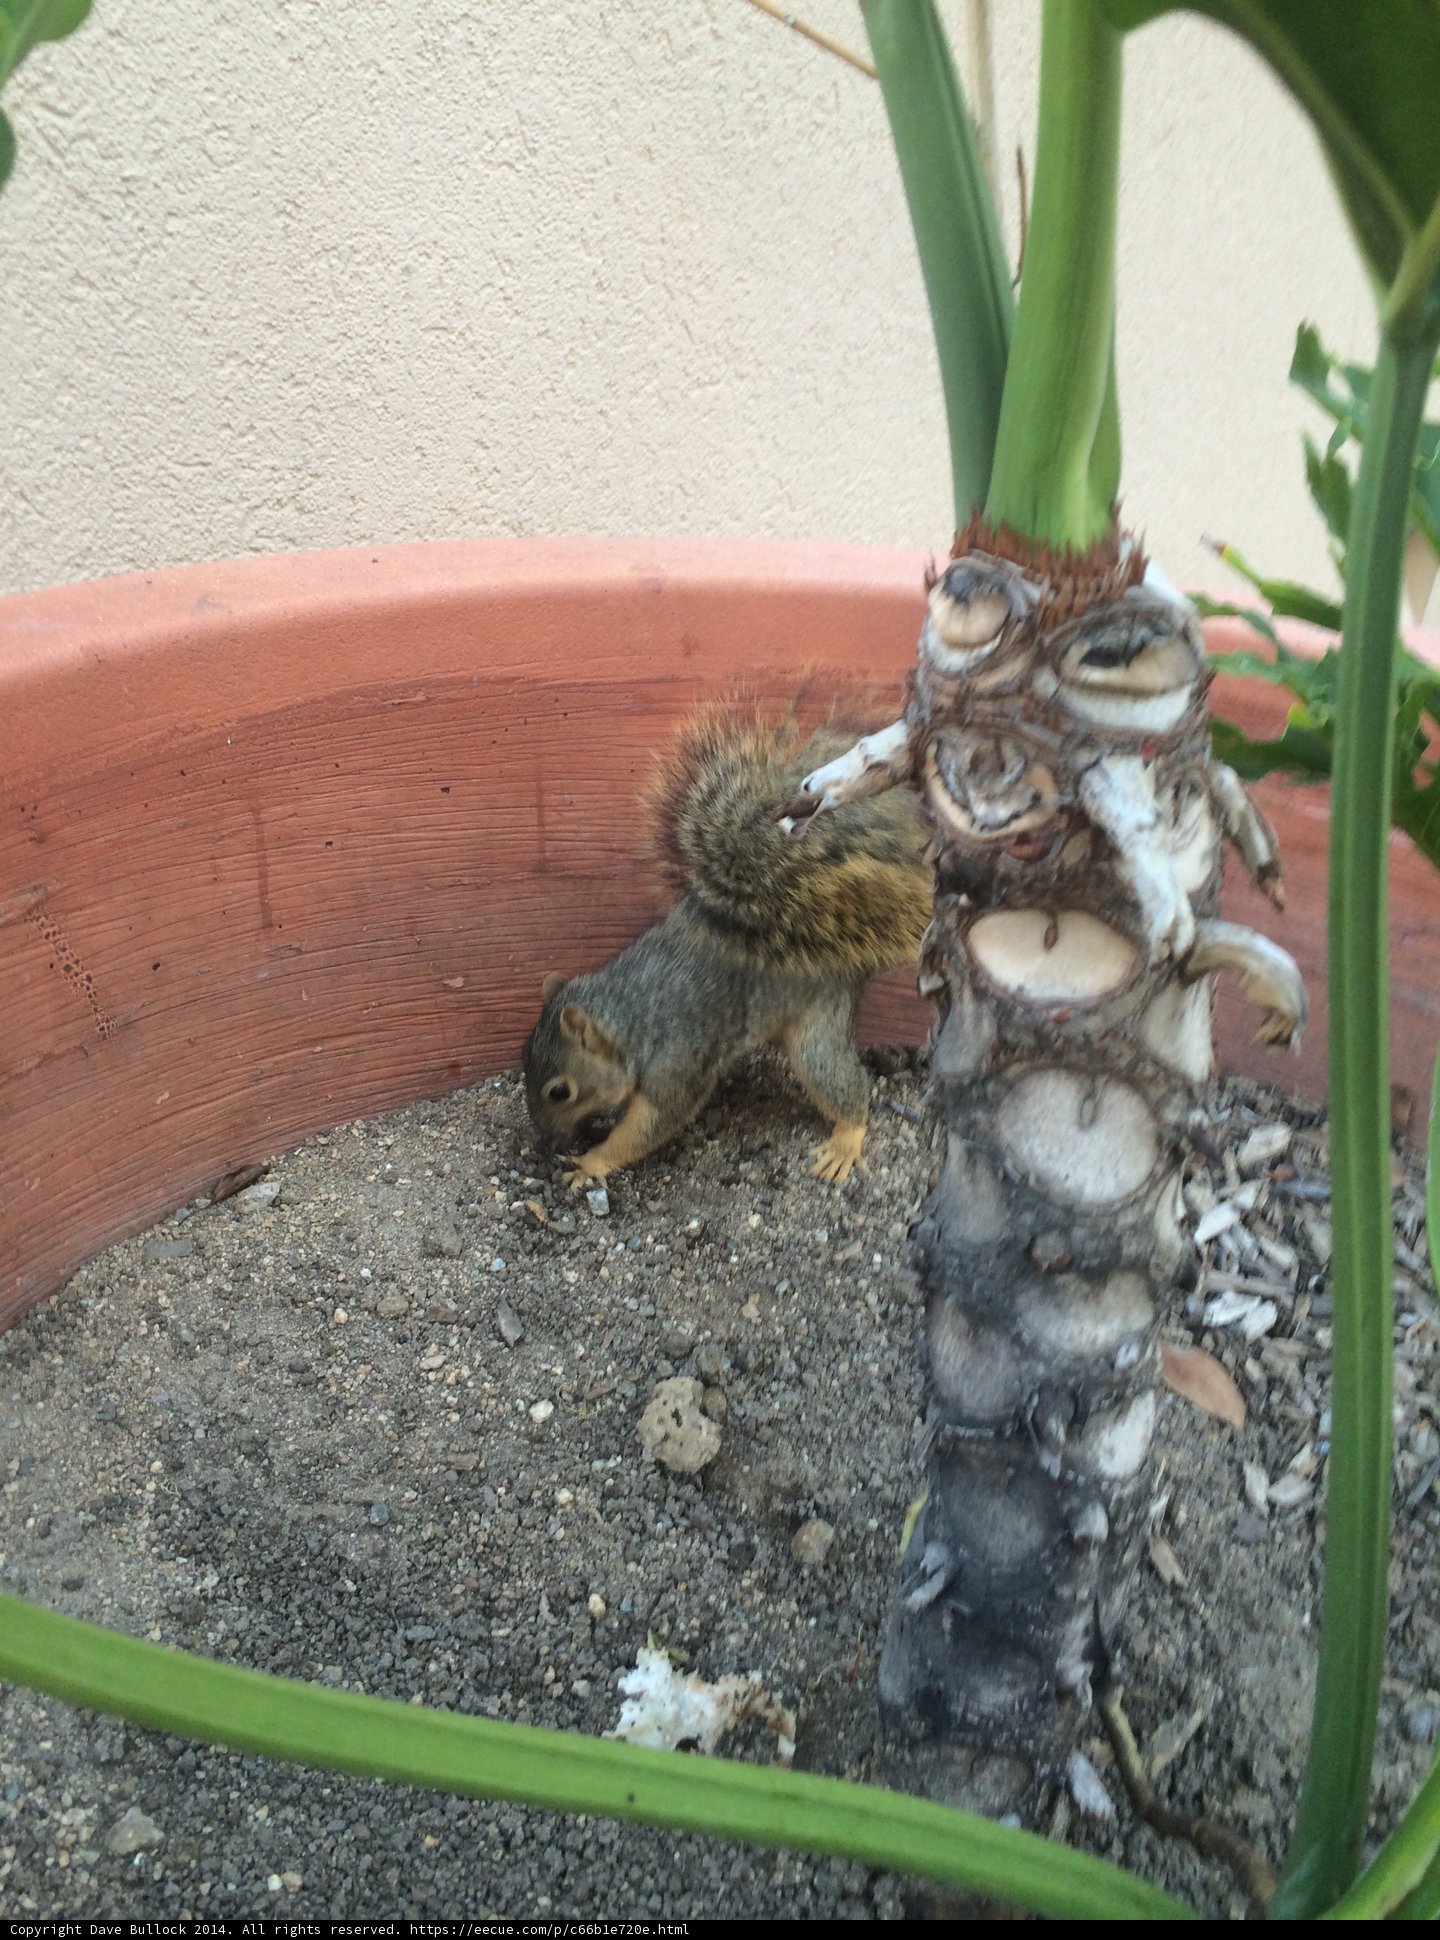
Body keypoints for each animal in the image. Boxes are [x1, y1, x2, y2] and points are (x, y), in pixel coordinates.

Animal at [522, 708, 932, 1191]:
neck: (632, 1015)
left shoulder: (678, 1066)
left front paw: (590, 1162)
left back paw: (846, 1141)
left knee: (841, 1082)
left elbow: (649, 1126)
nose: (545, 1138)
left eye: (560, 1091)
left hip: (819, 1031)